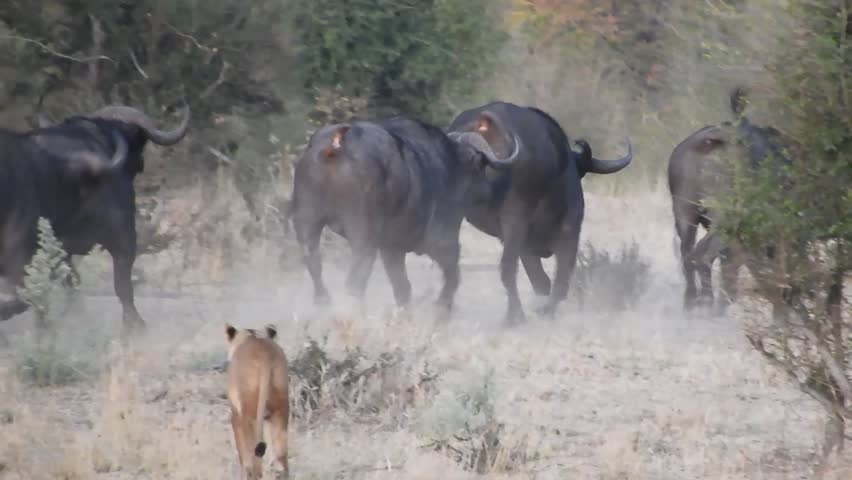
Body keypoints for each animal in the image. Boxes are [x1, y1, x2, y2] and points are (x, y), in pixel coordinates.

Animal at [0, 105, 191, 333]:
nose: (142, 163)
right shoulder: (124, 234)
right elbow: (122, 285)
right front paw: (134, 324)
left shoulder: (62, 250)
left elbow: (73, 284)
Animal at [225, 323, 290, 479]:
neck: (251, 336)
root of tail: (264, 352)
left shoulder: (236, 416)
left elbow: (242, 453)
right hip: (281, 410)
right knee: (282, 460)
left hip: (249, 415)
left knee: (255, 460)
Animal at [289, 114, 512, 317]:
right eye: (480, 166)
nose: (488, 192)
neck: (451, 166)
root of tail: (336, 146)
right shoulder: (443, 240)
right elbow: (453, 275)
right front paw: (442, 307)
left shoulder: (392, 248)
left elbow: (402, 286)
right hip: (363, 235)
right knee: (355, 279)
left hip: (306, 221)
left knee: (314, 263)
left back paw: (323, 302)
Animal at [447, 102, 634, 326]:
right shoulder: (568, 230)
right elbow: (559, 280)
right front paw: (545, 311)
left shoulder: (525, 245)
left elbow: (542, 281)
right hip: (518, 219)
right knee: (510, 269)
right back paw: (515, 316)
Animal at [667, 88, 794, 313]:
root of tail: (709, 143)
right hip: (724, 220)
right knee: (703, 257)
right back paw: (706, 304)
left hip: (684, 212)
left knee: (687, 255)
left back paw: (690, 303)